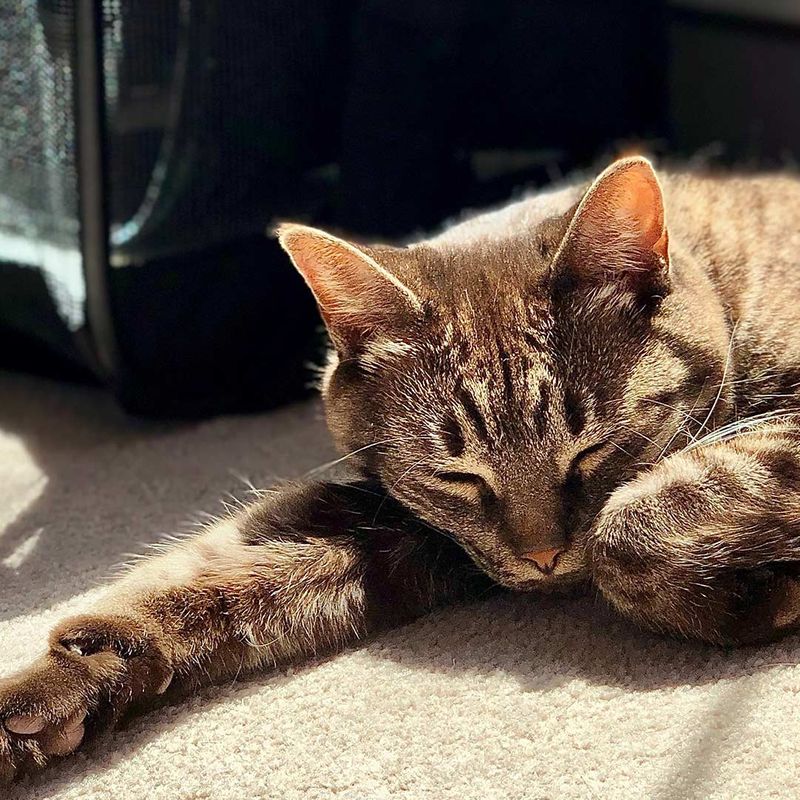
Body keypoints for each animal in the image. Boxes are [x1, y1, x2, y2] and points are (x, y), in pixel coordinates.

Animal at [1, 158, 800, 780]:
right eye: (458, 477)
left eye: (593, 450)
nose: (543, 557)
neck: (722, 278)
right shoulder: (392, 523)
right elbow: (202, 578)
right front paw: (53, 692)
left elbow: (631, 524)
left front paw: (748, 598)